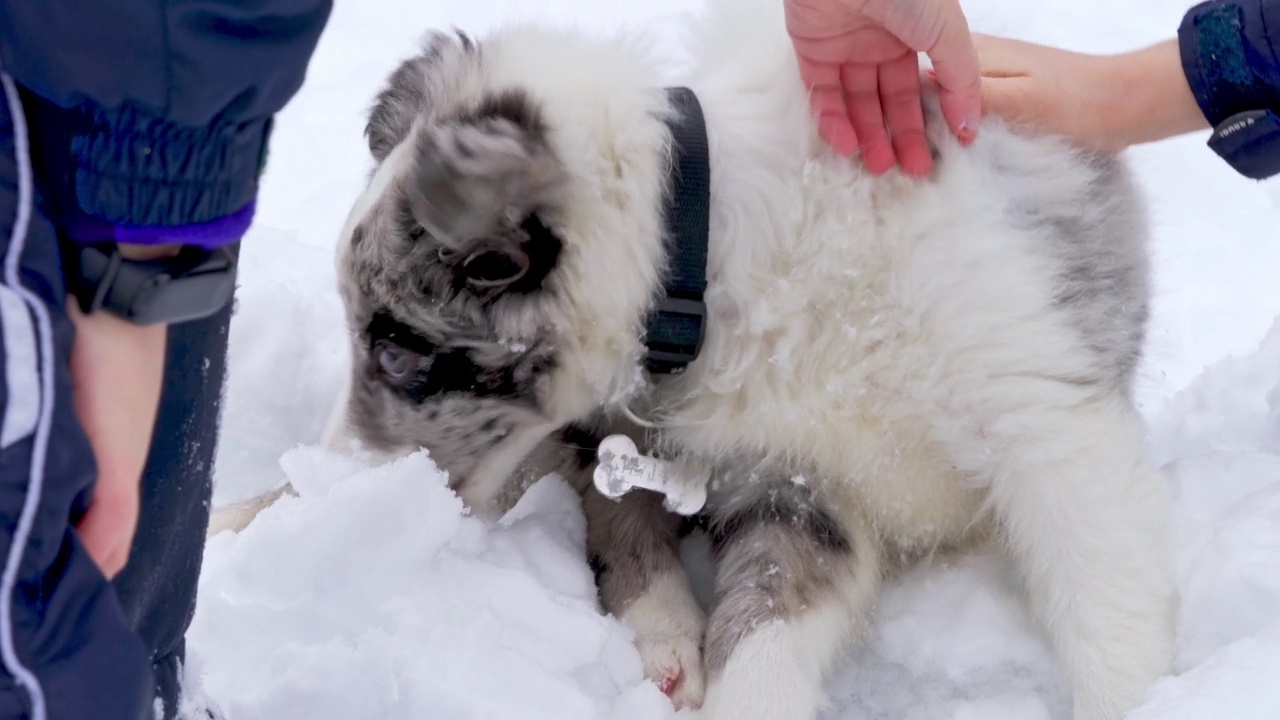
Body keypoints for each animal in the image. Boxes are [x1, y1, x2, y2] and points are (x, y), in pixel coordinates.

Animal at [217, 2, 1177, 712]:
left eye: (398, 355)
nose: (340, 489)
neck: (710, 260)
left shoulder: (1043, 421)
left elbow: (1105, 617)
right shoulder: (798, 478)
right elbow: (750, 614)